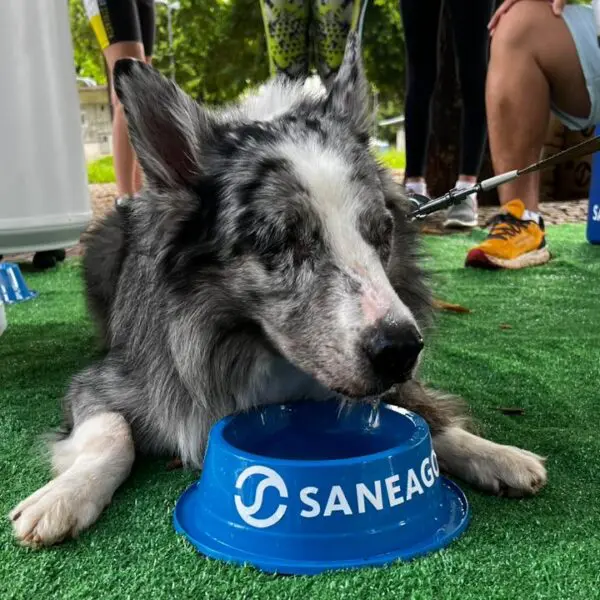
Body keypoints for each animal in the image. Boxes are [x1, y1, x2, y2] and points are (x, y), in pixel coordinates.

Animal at [8, 34, 544, 548]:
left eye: (382, 232)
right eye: (280, 241)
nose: (401, 351)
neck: (249, 346)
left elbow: (429, 417)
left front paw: (494, 454)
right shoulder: (98, 385)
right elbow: (113, 435)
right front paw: (63, 497)